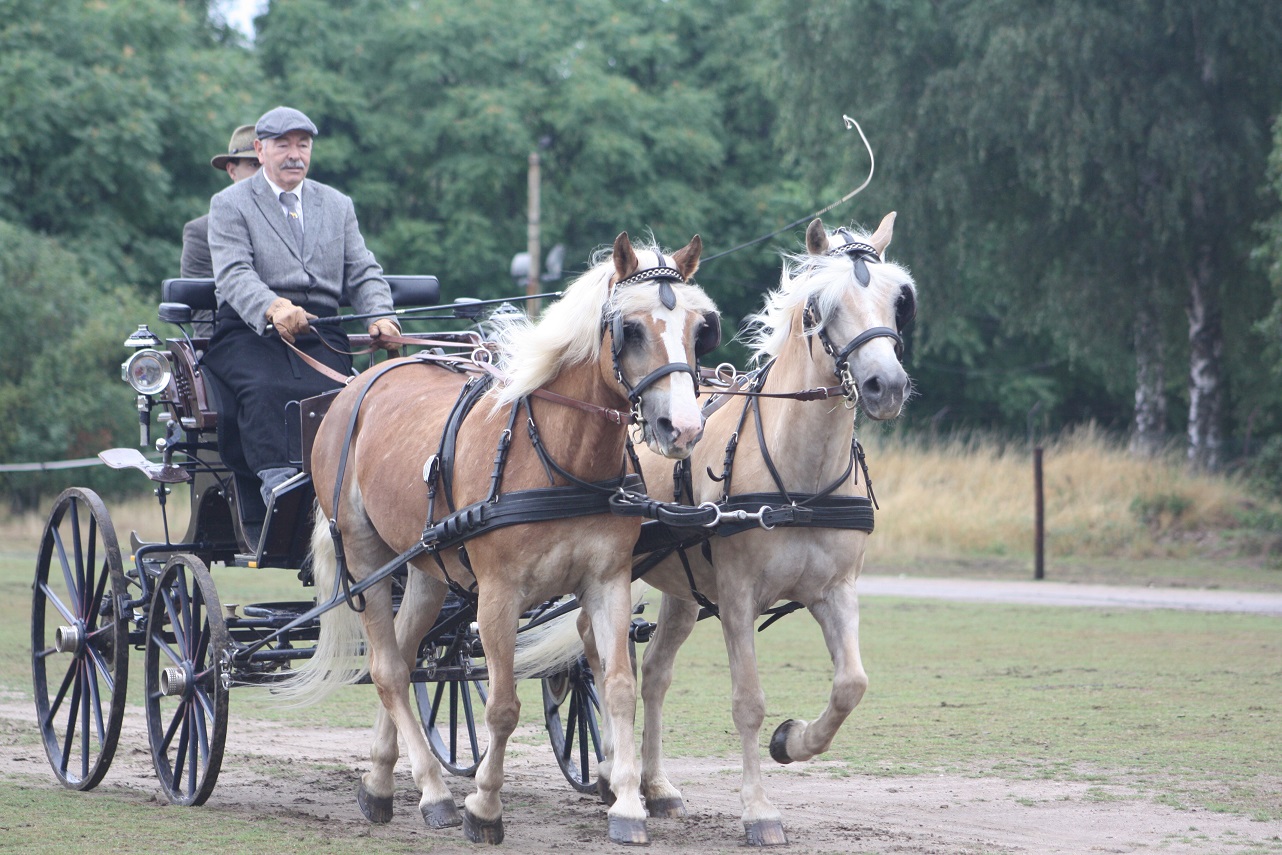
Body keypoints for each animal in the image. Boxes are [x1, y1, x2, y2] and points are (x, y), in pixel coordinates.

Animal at [282, 230, 723, 846]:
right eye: (631, 329)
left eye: (699, 327)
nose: (681, 428)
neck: (560, 456)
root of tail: (356, 385)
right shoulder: (497, 595)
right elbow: (502, 707)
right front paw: (484, 807)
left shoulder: (606, 582)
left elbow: (617, 687)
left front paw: (629, 805)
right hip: (367, 558)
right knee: (389, 669)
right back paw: (436, 793)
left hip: (427, 567)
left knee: (404, 654)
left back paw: (382, 782)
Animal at [628, 212, 912, 840]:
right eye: (819, 308)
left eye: (896, 300)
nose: (887, 385)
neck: (800, 485)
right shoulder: (738, 598)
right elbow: (748, 702)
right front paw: (759, 809)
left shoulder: (835, 592)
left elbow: (851, 685)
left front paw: (793, 741)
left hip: (682, 589)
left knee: (654, 672)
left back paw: (656, 787)